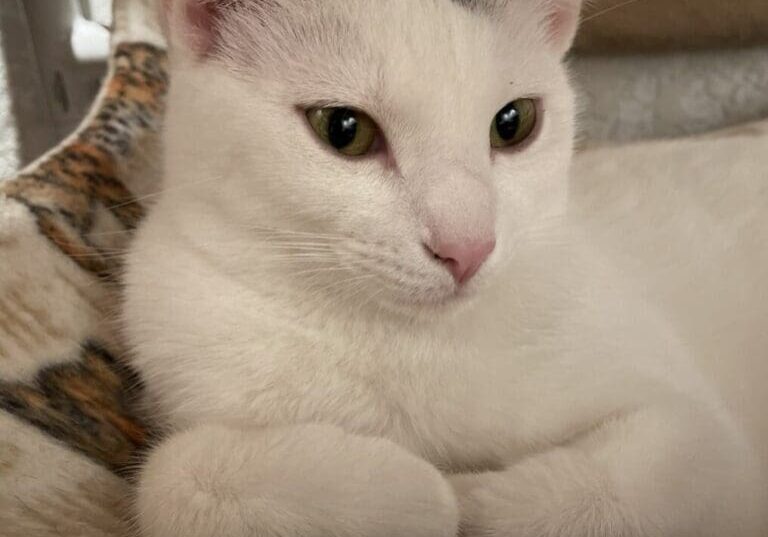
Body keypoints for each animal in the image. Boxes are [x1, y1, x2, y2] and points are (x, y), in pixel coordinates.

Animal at [123, 2, 764, 532]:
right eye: (344, 129)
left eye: (514, 122)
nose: (467, 246)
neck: (408, 345)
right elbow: (167, 478)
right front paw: (397, 491)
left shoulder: (701, 443)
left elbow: (632, 486)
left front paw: (464, 500)